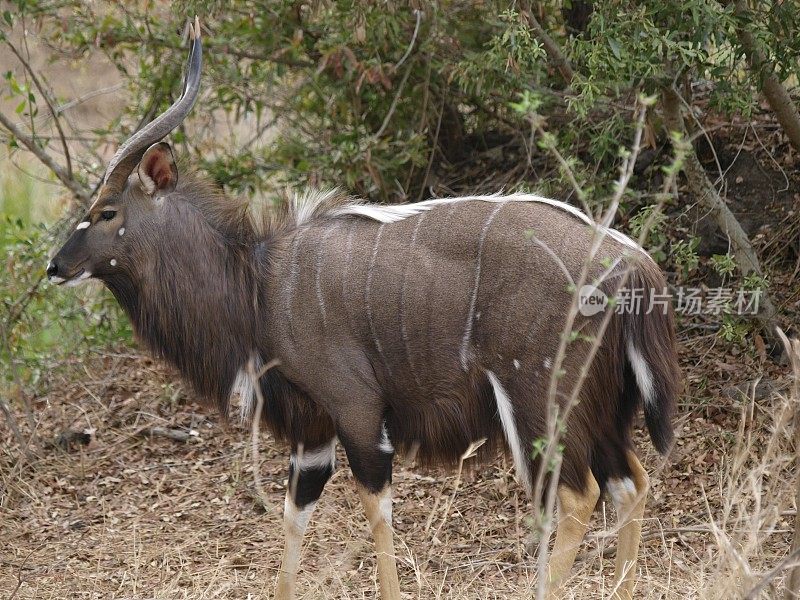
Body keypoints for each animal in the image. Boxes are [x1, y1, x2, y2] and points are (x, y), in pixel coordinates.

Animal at [48, 19, 676, 600]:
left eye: (105, 212)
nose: (55, 266)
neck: (259, 285)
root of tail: (631, 262)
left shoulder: (357, 411)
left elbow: (377, 513)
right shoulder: (311, 430)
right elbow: (294, 514)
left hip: (541, 404)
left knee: (579, 494)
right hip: (604, 412)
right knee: (632, 482)